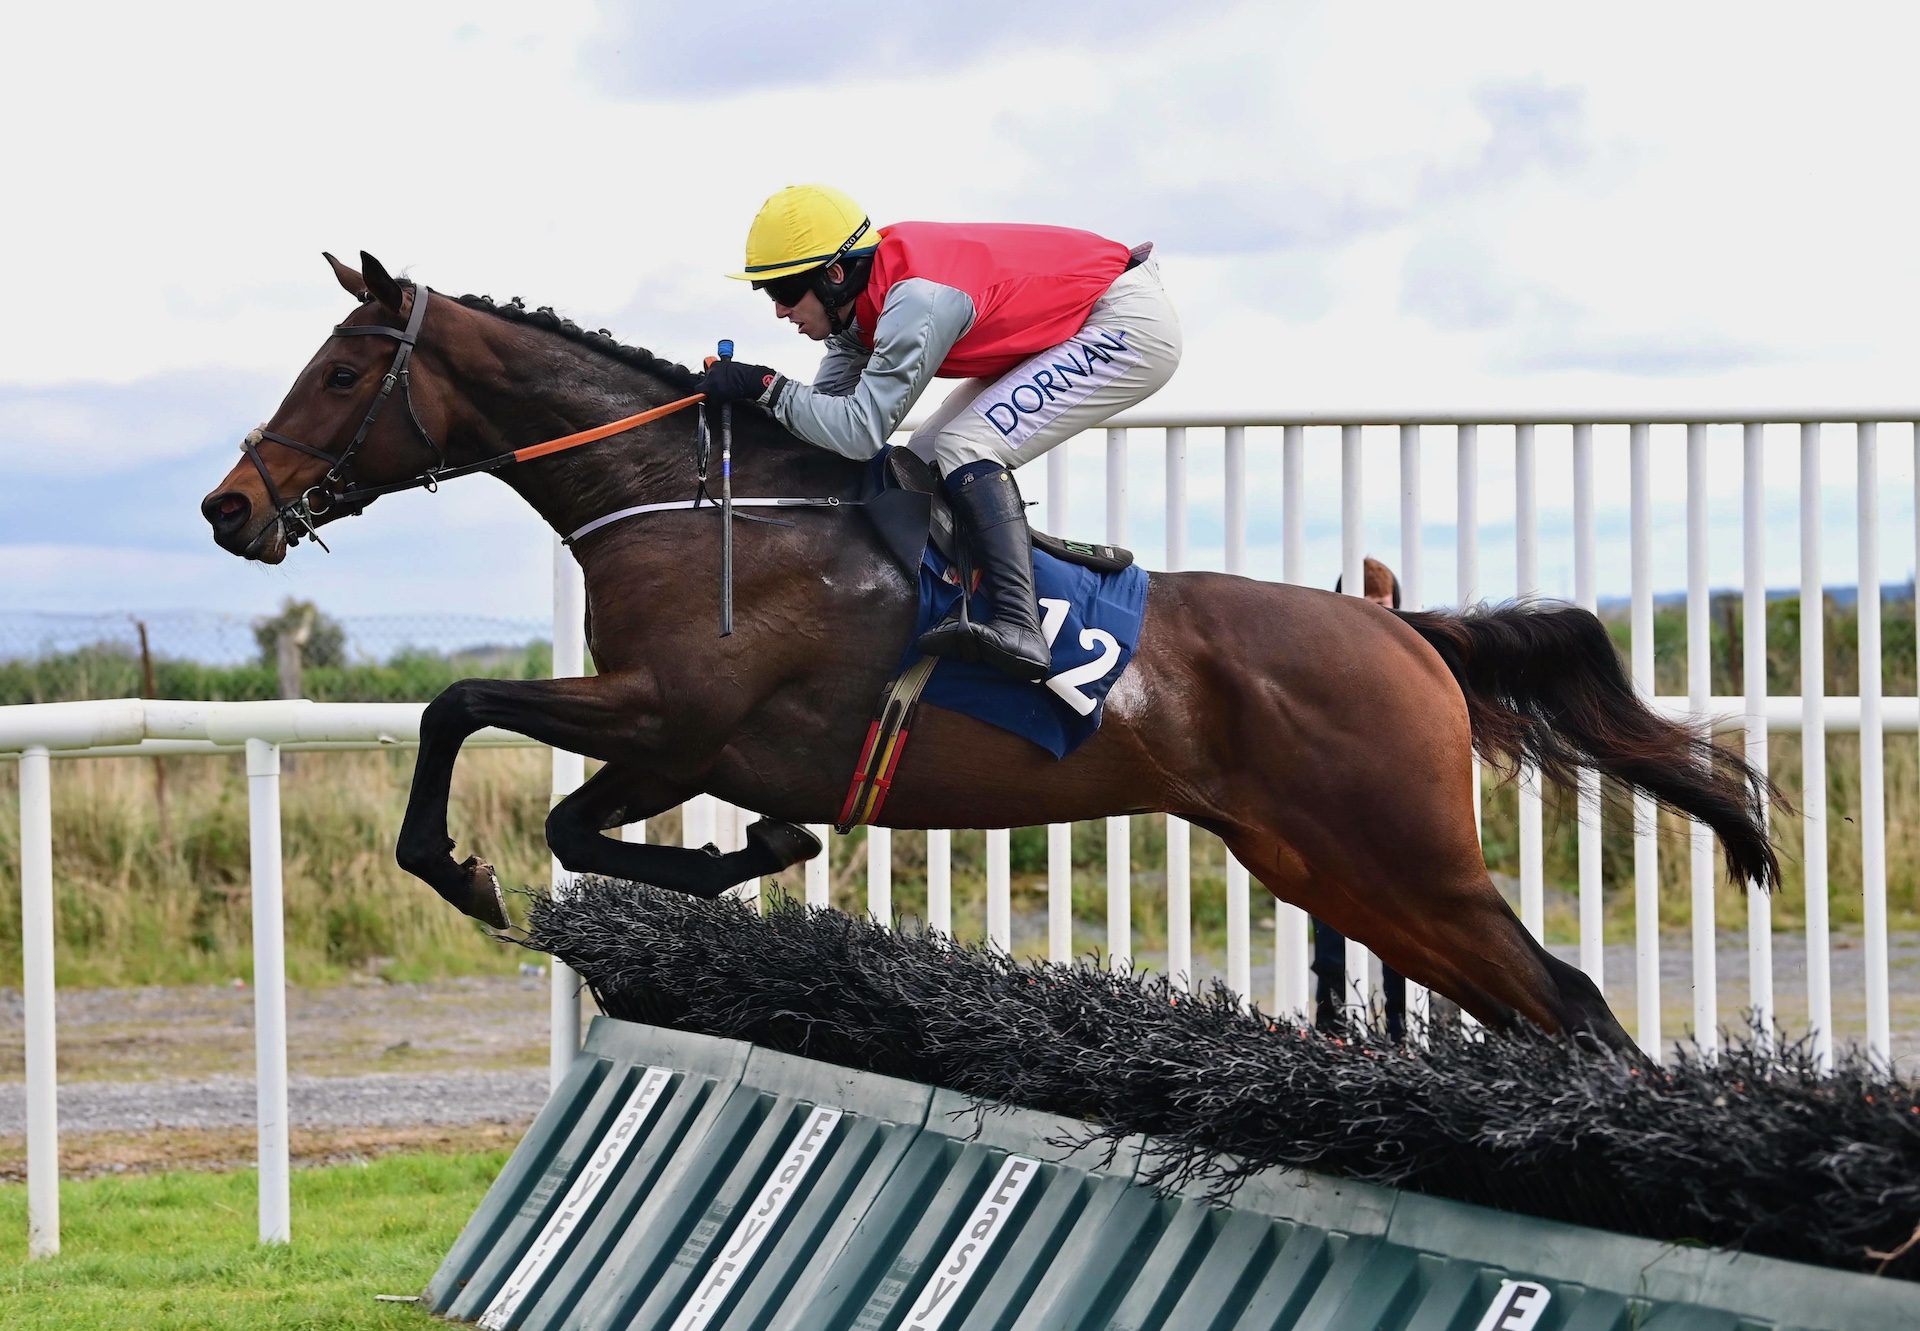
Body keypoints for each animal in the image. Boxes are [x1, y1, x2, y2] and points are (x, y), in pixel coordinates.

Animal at [202, 253, 1774, 1052]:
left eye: (341, 371)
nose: (231, 507)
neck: (699, 497)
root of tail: (1400, 627)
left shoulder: (670, 713)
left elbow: (471, 718)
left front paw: (480, 866)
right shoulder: (670, 736)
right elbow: (564, 810)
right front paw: (758, 850)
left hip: (1406, 854)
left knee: (1568, 997)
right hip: (1334, 868)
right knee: (1540, 1005)